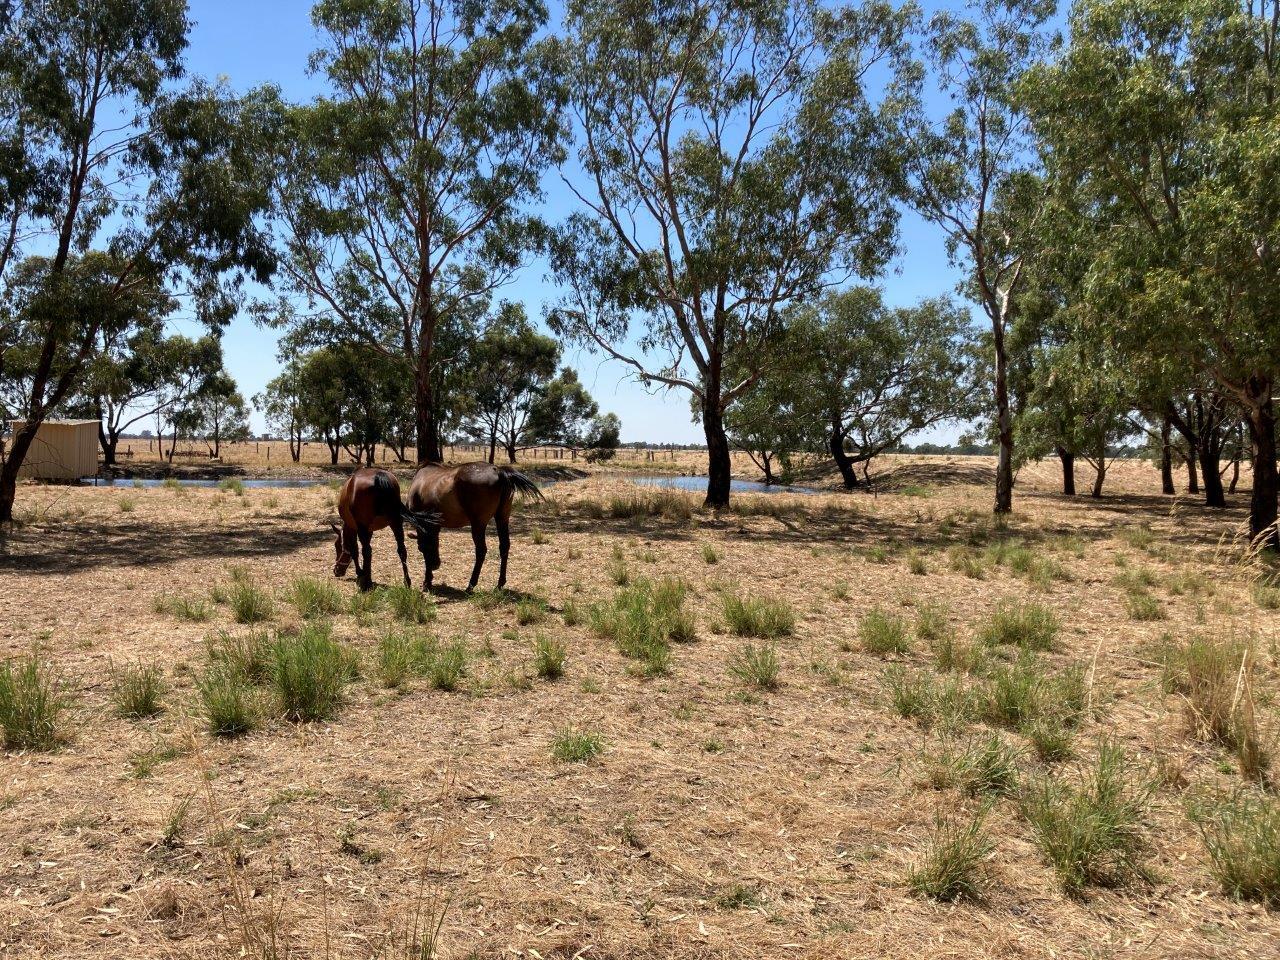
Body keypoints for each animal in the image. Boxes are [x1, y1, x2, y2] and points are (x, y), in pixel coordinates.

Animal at [407, 460, 542, 591]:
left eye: (420, 548)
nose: (435, 565)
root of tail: (498, 471)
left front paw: (427, 581)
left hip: (478, 524)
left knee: (481, 551)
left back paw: (471, 585)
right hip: (502, 518)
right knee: (504, 546)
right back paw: (499, 584)